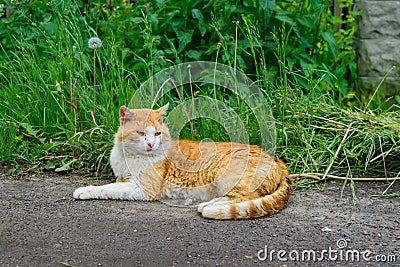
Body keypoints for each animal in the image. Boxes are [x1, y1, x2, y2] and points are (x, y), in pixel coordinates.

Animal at [73, 104, 292, 220]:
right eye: (142, 133)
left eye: (157, 133)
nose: (151, 144)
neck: (132, 157)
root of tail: (280, 162)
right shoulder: (123, 178)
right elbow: (113, 184)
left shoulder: (143, 189)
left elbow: (107, 188)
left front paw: (85, 190)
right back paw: (207, 203)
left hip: (228, 176)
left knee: (244, 197)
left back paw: (208, 207)